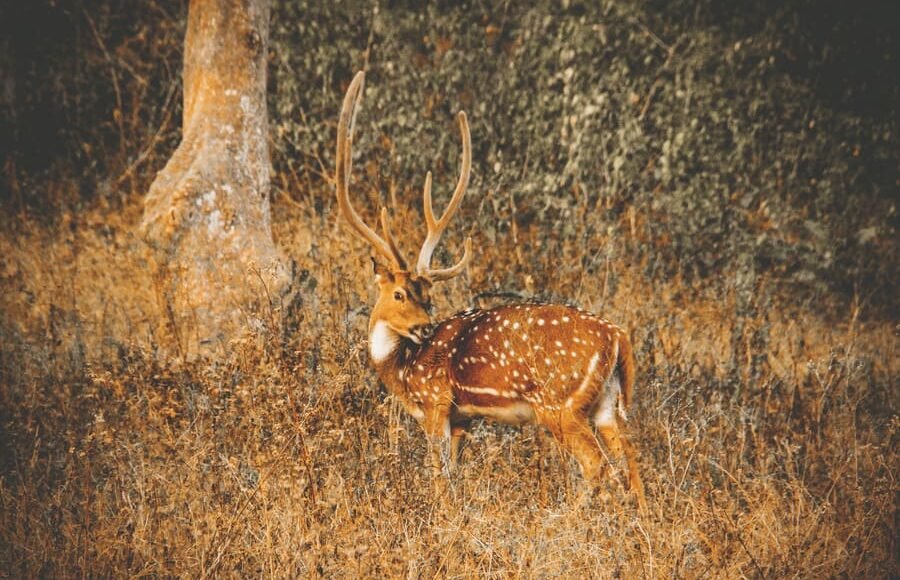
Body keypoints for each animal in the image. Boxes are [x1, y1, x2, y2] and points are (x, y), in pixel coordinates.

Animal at [335, 71, 645, 508]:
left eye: (424, 296)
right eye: (402, 294)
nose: (425, 329)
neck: (402, 371)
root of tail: (618, 337)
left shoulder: (436, 403)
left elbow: (438, 478)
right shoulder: (461, 418)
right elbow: (454, 475)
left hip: (560, 404)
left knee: (597, 465)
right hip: (607, 403)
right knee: (632, 466)